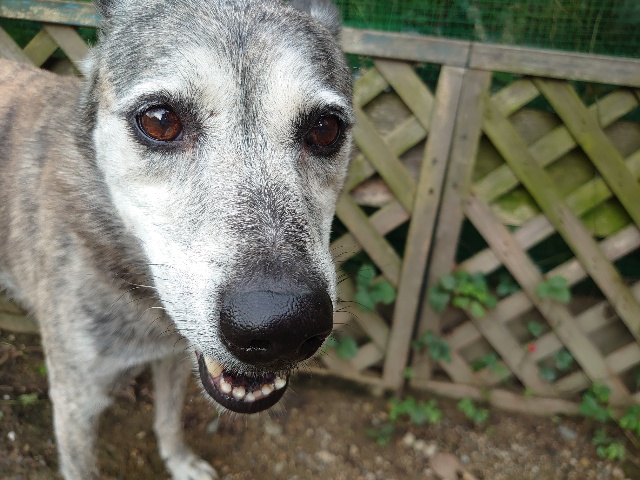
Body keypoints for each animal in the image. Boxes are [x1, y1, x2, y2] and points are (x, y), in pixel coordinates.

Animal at [0, 0, 353, 477]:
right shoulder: (76, 400)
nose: (281, 327)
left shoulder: (174, 355)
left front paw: (180, 462)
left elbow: (168, 418)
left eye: (326, 128)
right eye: (160, 121)